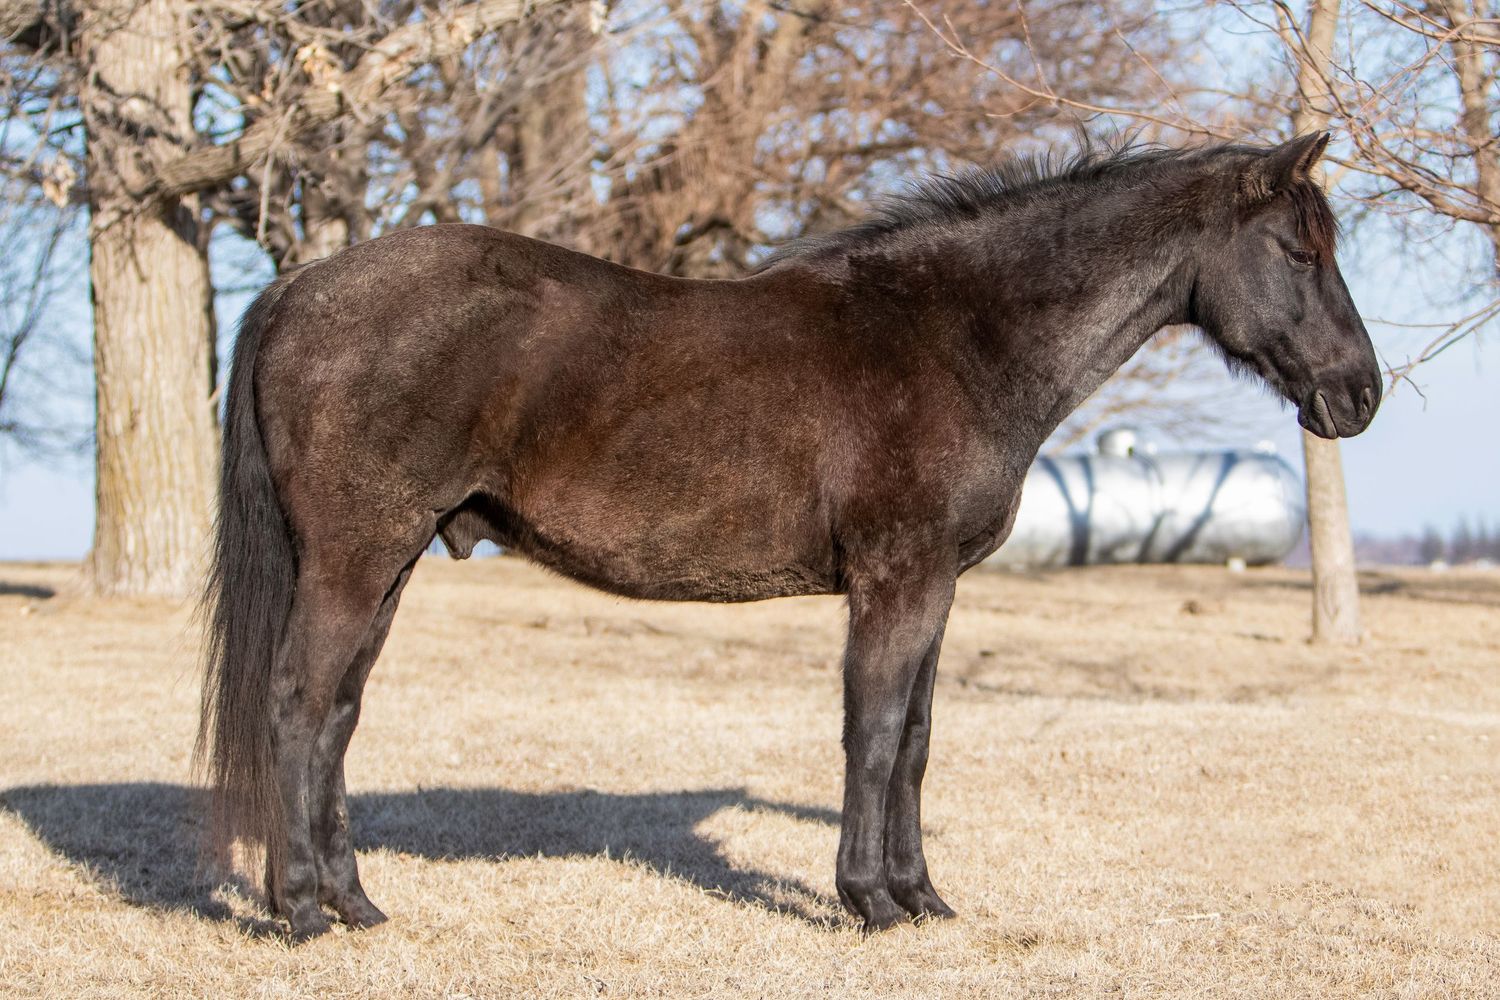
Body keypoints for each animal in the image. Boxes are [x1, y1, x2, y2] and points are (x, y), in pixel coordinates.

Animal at [198, 133, 1381, 940]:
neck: (953, 336)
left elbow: (915, 740)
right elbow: (872, 731)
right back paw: (301, 911)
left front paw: (922, 895)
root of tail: (301, 288)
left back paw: (354, 901)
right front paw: (867, 900)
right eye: (1297, 249)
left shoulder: (937, 587)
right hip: (354, 561)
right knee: (296, 704)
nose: (1360, 395)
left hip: (387, 563)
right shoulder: (896, 581)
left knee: (337, 716)